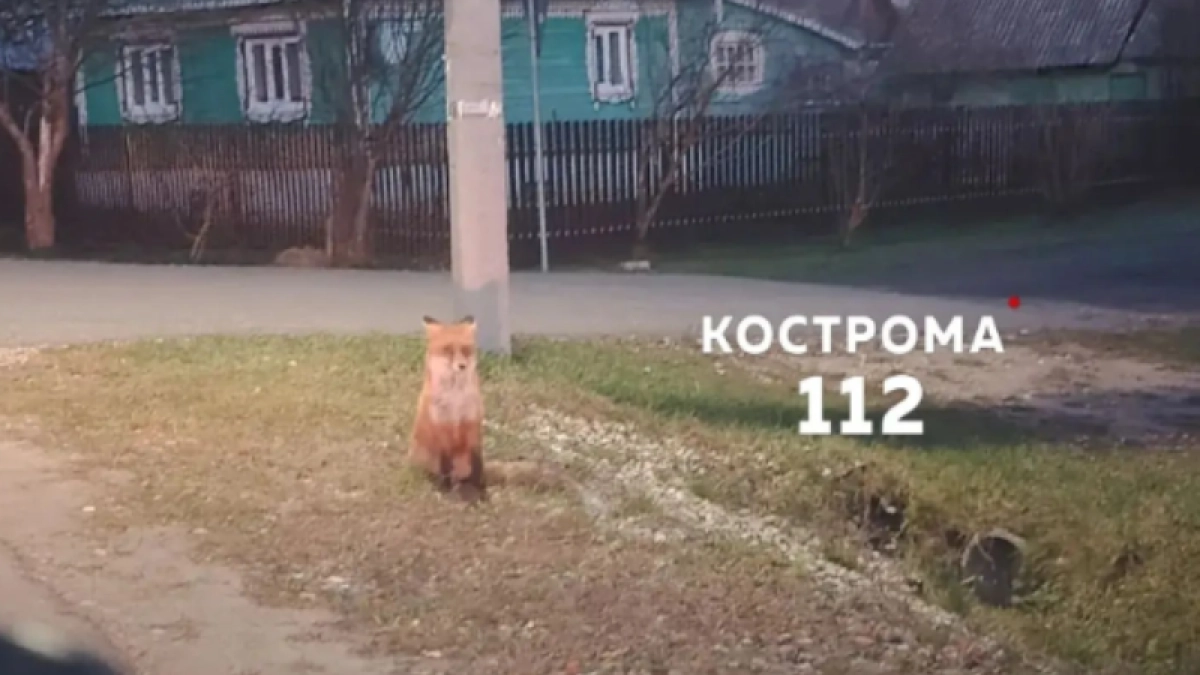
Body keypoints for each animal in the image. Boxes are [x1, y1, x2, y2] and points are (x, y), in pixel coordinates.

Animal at [408, 315, 568, 503]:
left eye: (466, 349)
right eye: (448, 350)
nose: (462, 366)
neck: (456, 398)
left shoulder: (472, 423)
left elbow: (477, 466)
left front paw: (482, 491)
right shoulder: (441, 427)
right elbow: (445, 466)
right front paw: (447, 491)